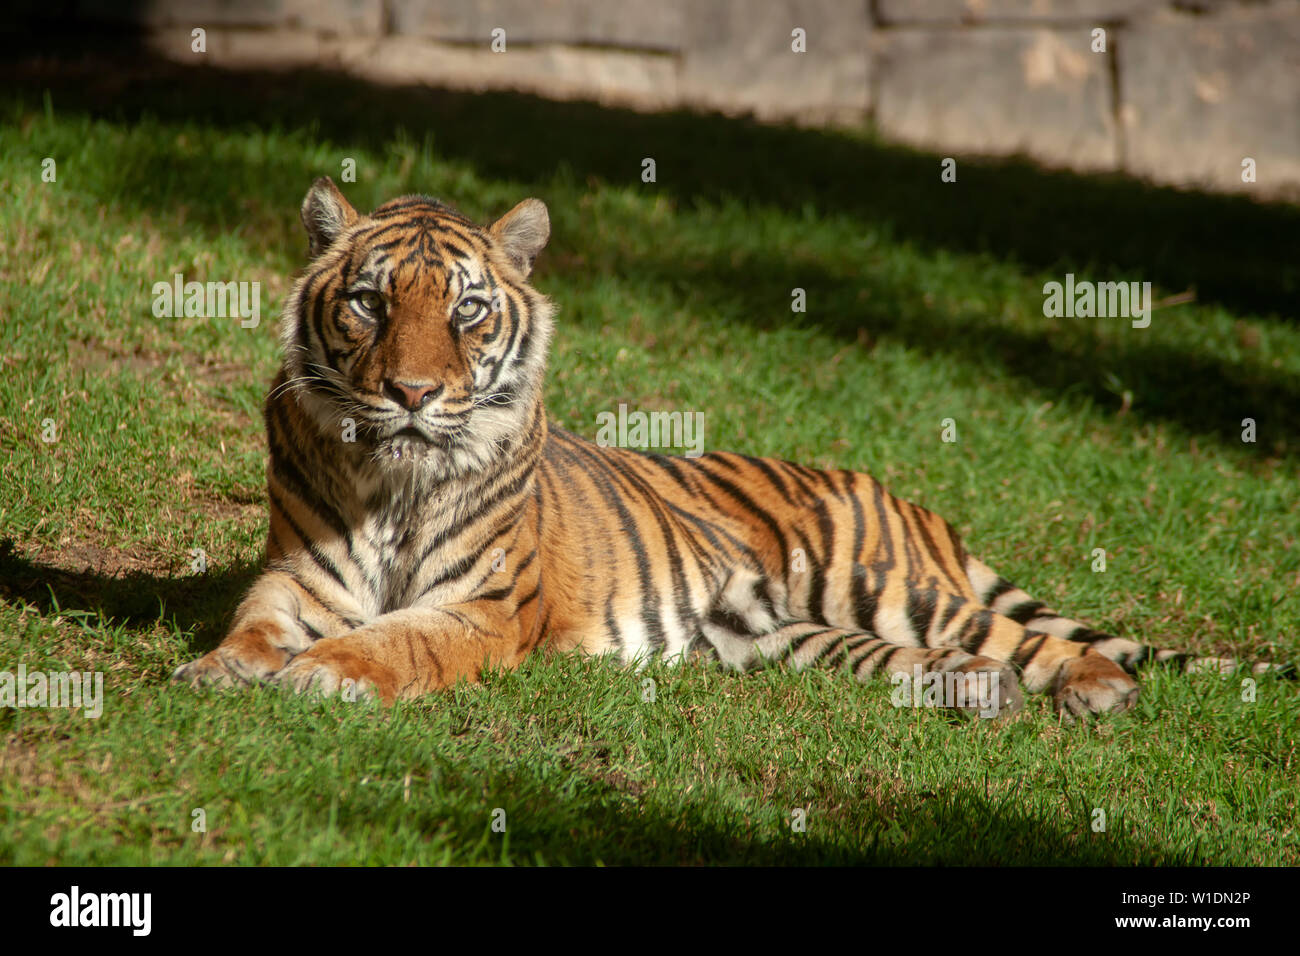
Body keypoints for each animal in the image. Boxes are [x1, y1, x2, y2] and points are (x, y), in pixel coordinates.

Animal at [173, 176, 1263, 720]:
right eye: (369, 301)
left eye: (466, 310)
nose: (411, 393)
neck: (393, 480)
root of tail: (899, 494)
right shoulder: (298, 577)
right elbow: (254, 625)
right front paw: (219, 670)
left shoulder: (484, 606)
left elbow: (400, 639)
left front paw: (324, 675)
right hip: (780, 634)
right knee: (929, 658)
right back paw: (977, 695)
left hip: (883, 588)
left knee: (1030, 639)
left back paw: (1098, 691)